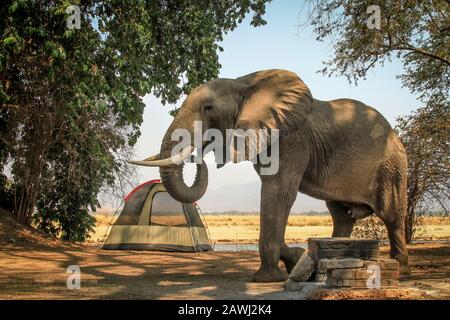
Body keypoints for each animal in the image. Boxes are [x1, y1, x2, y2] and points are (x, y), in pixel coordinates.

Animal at [131, 69, 412, 282]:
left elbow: (278, 193)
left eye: (208, 108)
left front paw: (266, 280)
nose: (197, 154)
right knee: (341, 216)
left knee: (392, 216)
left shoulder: (292, 140)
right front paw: (296, 260)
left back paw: (402, 269)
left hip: (392, 166)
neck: (244, 84)